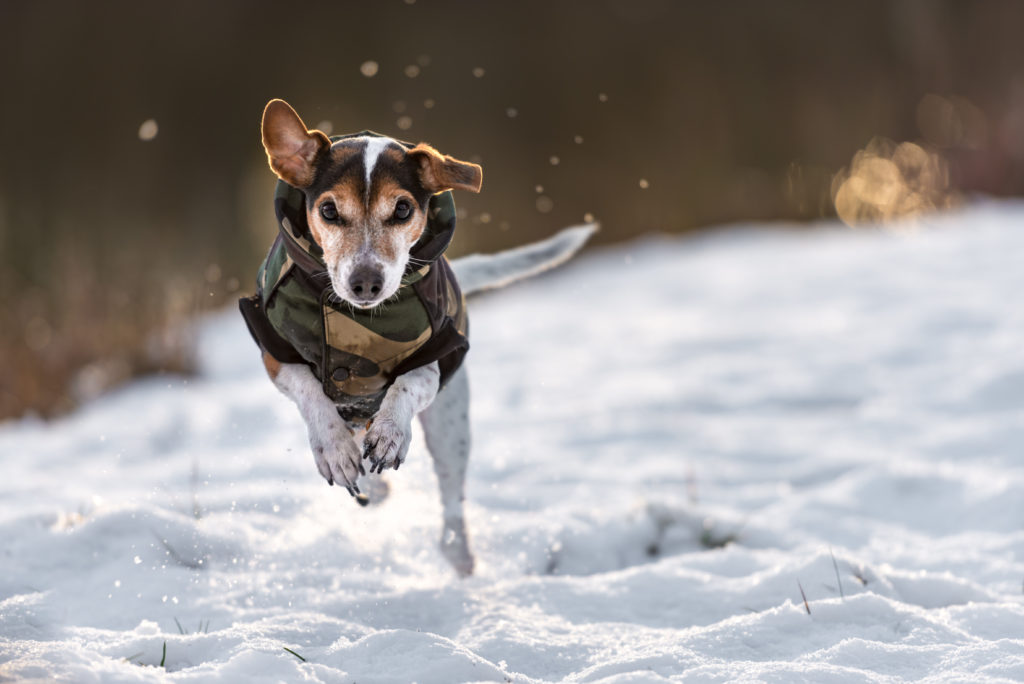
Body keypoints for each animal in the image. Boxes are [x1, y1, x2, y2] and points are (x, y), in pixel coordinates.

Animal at [240, 97, 593, 577]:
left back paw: (458, 553)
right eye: (329, 211)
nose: (366, 283)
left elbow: (408, 383)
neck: (357, 319)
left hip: (450, 424)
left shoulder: (439, 354)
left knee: (450, 497)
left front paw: (391, 432)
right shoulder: (276, 353)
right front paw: (334, 448)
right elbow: (311, 392)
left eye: (403, 210)